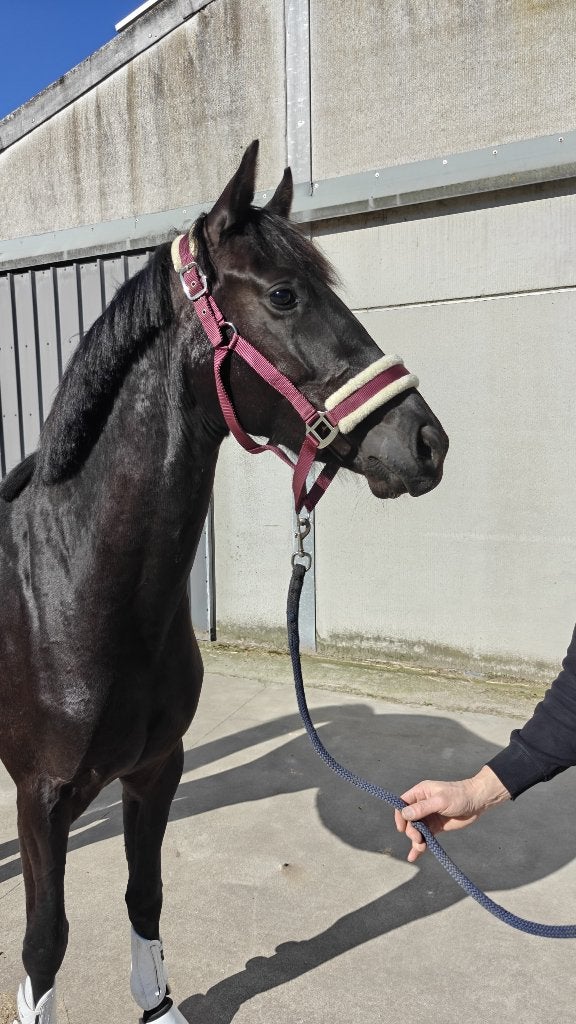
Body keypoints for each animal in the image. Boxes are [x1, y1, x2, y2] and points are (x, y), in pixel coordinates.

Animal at [0, 140, 448, 1024]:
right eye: (283, 294)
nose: (427, 442)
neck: (71, 586)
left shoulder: (156, 769)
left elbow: (144, 894)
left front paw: (159, 1005)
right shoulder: (41, 799)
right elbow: (44, 943)